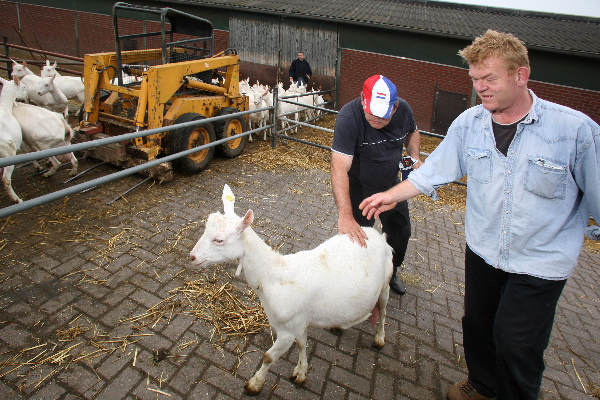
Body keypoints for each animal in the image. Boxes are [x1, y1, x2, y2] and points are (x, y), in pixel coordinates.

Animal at [189, 184, 394, 394]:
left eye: (219, 240)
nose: (192, 257)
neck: (273, 275)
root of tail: (379, 235)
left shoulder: (287, 328)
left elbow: (269, 356)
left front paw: (254, 384)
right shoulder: (299, 322)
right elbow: (302, 344)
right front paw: (300, 373)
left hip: (386, 282)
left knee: (383, 310)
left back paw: (379, 339)